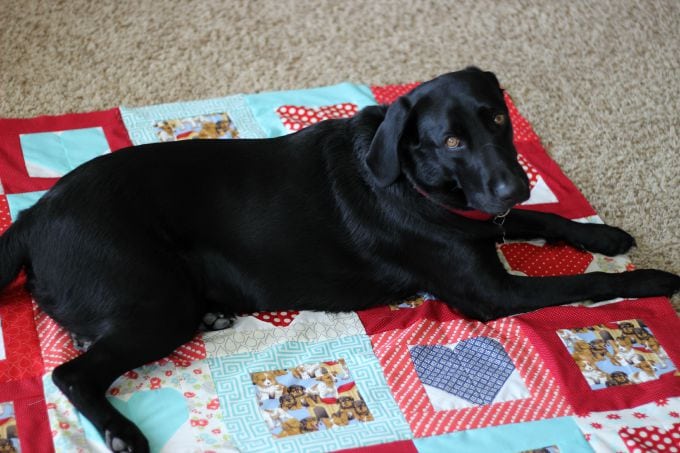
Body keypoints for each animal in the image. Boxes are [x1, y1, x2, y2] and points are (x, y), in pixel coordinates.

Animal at [1, 68, 680, 452]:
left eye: (497, 118)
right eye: (452, 140)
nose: (514, 184)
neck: (417, 182)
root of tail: (31, 217)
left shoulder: (490, 220)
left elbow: (548, 220)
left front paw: (607, 234)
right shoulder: (494, 294)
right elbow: (585, 286)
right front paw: (659, 276)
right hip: (155, 303)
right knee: (73, 373)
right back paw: (122, 433)